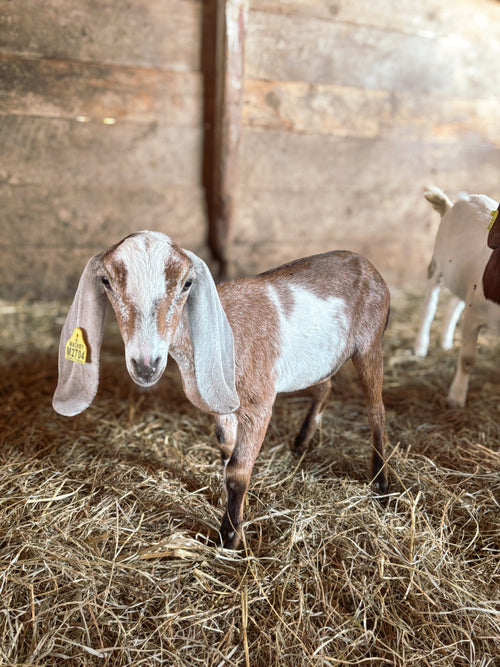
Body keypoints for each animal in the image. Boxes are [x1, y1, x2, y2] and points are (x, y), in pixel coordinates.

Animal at [53, 232, 390, 549]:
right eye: (106, 281)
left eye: (187, 283)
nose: (146, 365)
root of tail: (365, 263)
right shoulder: (222, 402)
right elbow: (226, 450)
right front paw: (235, 507)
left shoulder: (258, 403)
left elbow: (238, 471)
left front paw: (229, 537)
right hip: (319, 358)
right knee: (324, 387)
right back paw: (301, 443)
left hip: (369, 343)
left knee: (376, 409)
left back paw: (381, 484)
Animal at [414, 187, 500, 407]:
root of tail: (453, 204)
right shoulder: (473, 315)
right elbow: (468, 359)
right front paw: (456, 398)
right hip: (436, 264)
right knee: (429, 305)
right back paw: (420, 347)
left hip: (464, 281)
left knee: (454, 304)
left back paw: (445, 342)